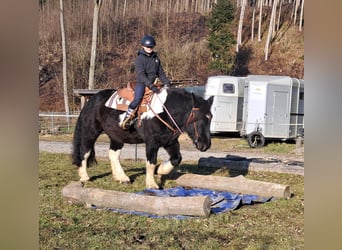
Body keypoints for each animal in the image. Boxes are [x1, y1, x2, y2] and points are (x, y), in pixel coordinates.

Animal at [72, 87, 214, 188]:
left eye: (210, 117)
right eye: (198, 117)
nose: (205, 145)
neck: (164, 112)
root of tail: (91, 101)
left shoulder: (170, 142)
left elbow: (176, 159)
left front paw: (160, 170)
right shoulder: (151, 143)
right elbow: (151, 162)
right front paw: (152, 184)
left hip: (116, 137)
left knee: (113, 154)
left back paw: (121, 178)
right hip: (90, 132)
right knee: (84, 152)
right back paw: (84, 177)